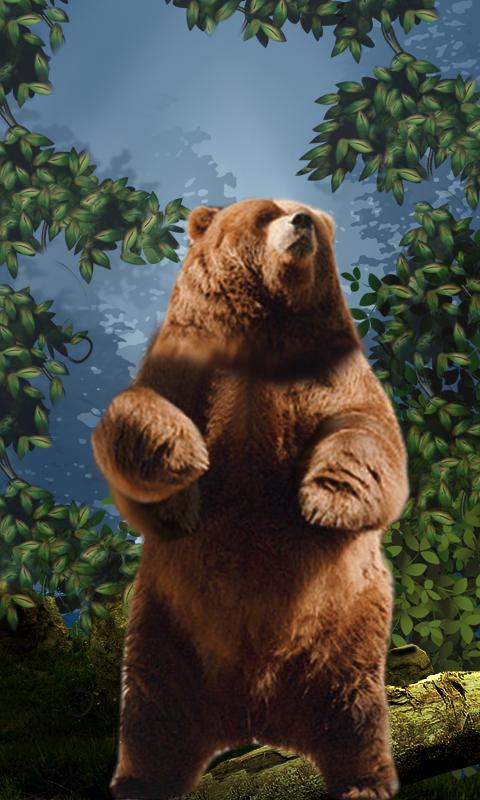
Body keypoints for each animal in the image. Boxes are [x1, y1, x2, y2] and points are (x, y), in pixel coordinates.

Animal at [91, 198, 409, 800]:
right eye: (268, 213)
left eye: (309, 214)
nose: (303, 221)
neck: (262, 328)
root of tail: (253, 715)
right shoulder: (188, 361)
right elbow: (139, 412)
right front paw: (183, 465)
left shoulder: (331, 373)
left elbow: (366, 432)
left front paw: (323, 499)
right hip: (165, 631)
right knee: (153, 711)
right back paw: (141, 780)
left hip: (347, 632)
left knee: (354, 708)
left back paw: (365, 779)